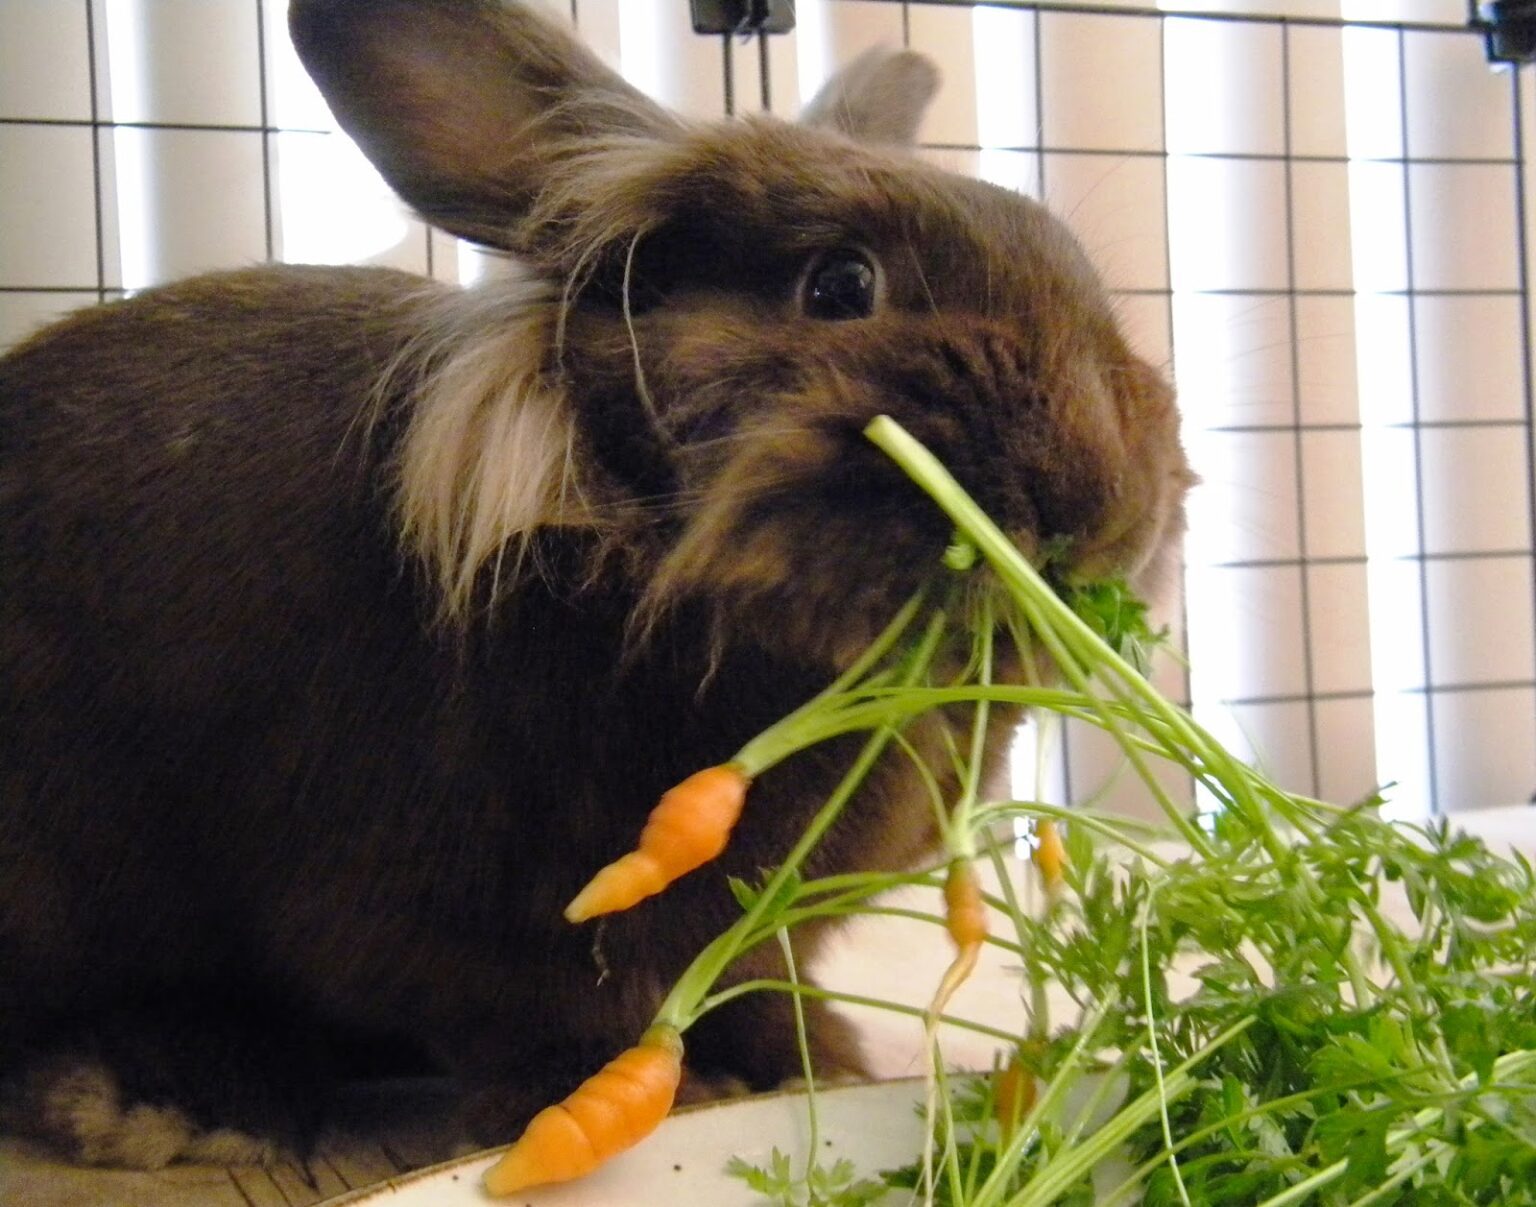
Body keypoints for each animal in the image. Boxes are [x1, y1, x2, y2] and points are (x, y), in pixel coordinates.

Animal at [0, 0, 1194, 1172]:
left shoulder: (760, 924)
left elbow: (755, 984)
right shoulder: (461, 920)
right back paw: (171, 1097)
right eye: (841, 285)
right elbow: (547, 1021)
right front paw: (636, 1095)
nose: (1101, 500)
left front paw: (814, 1061)